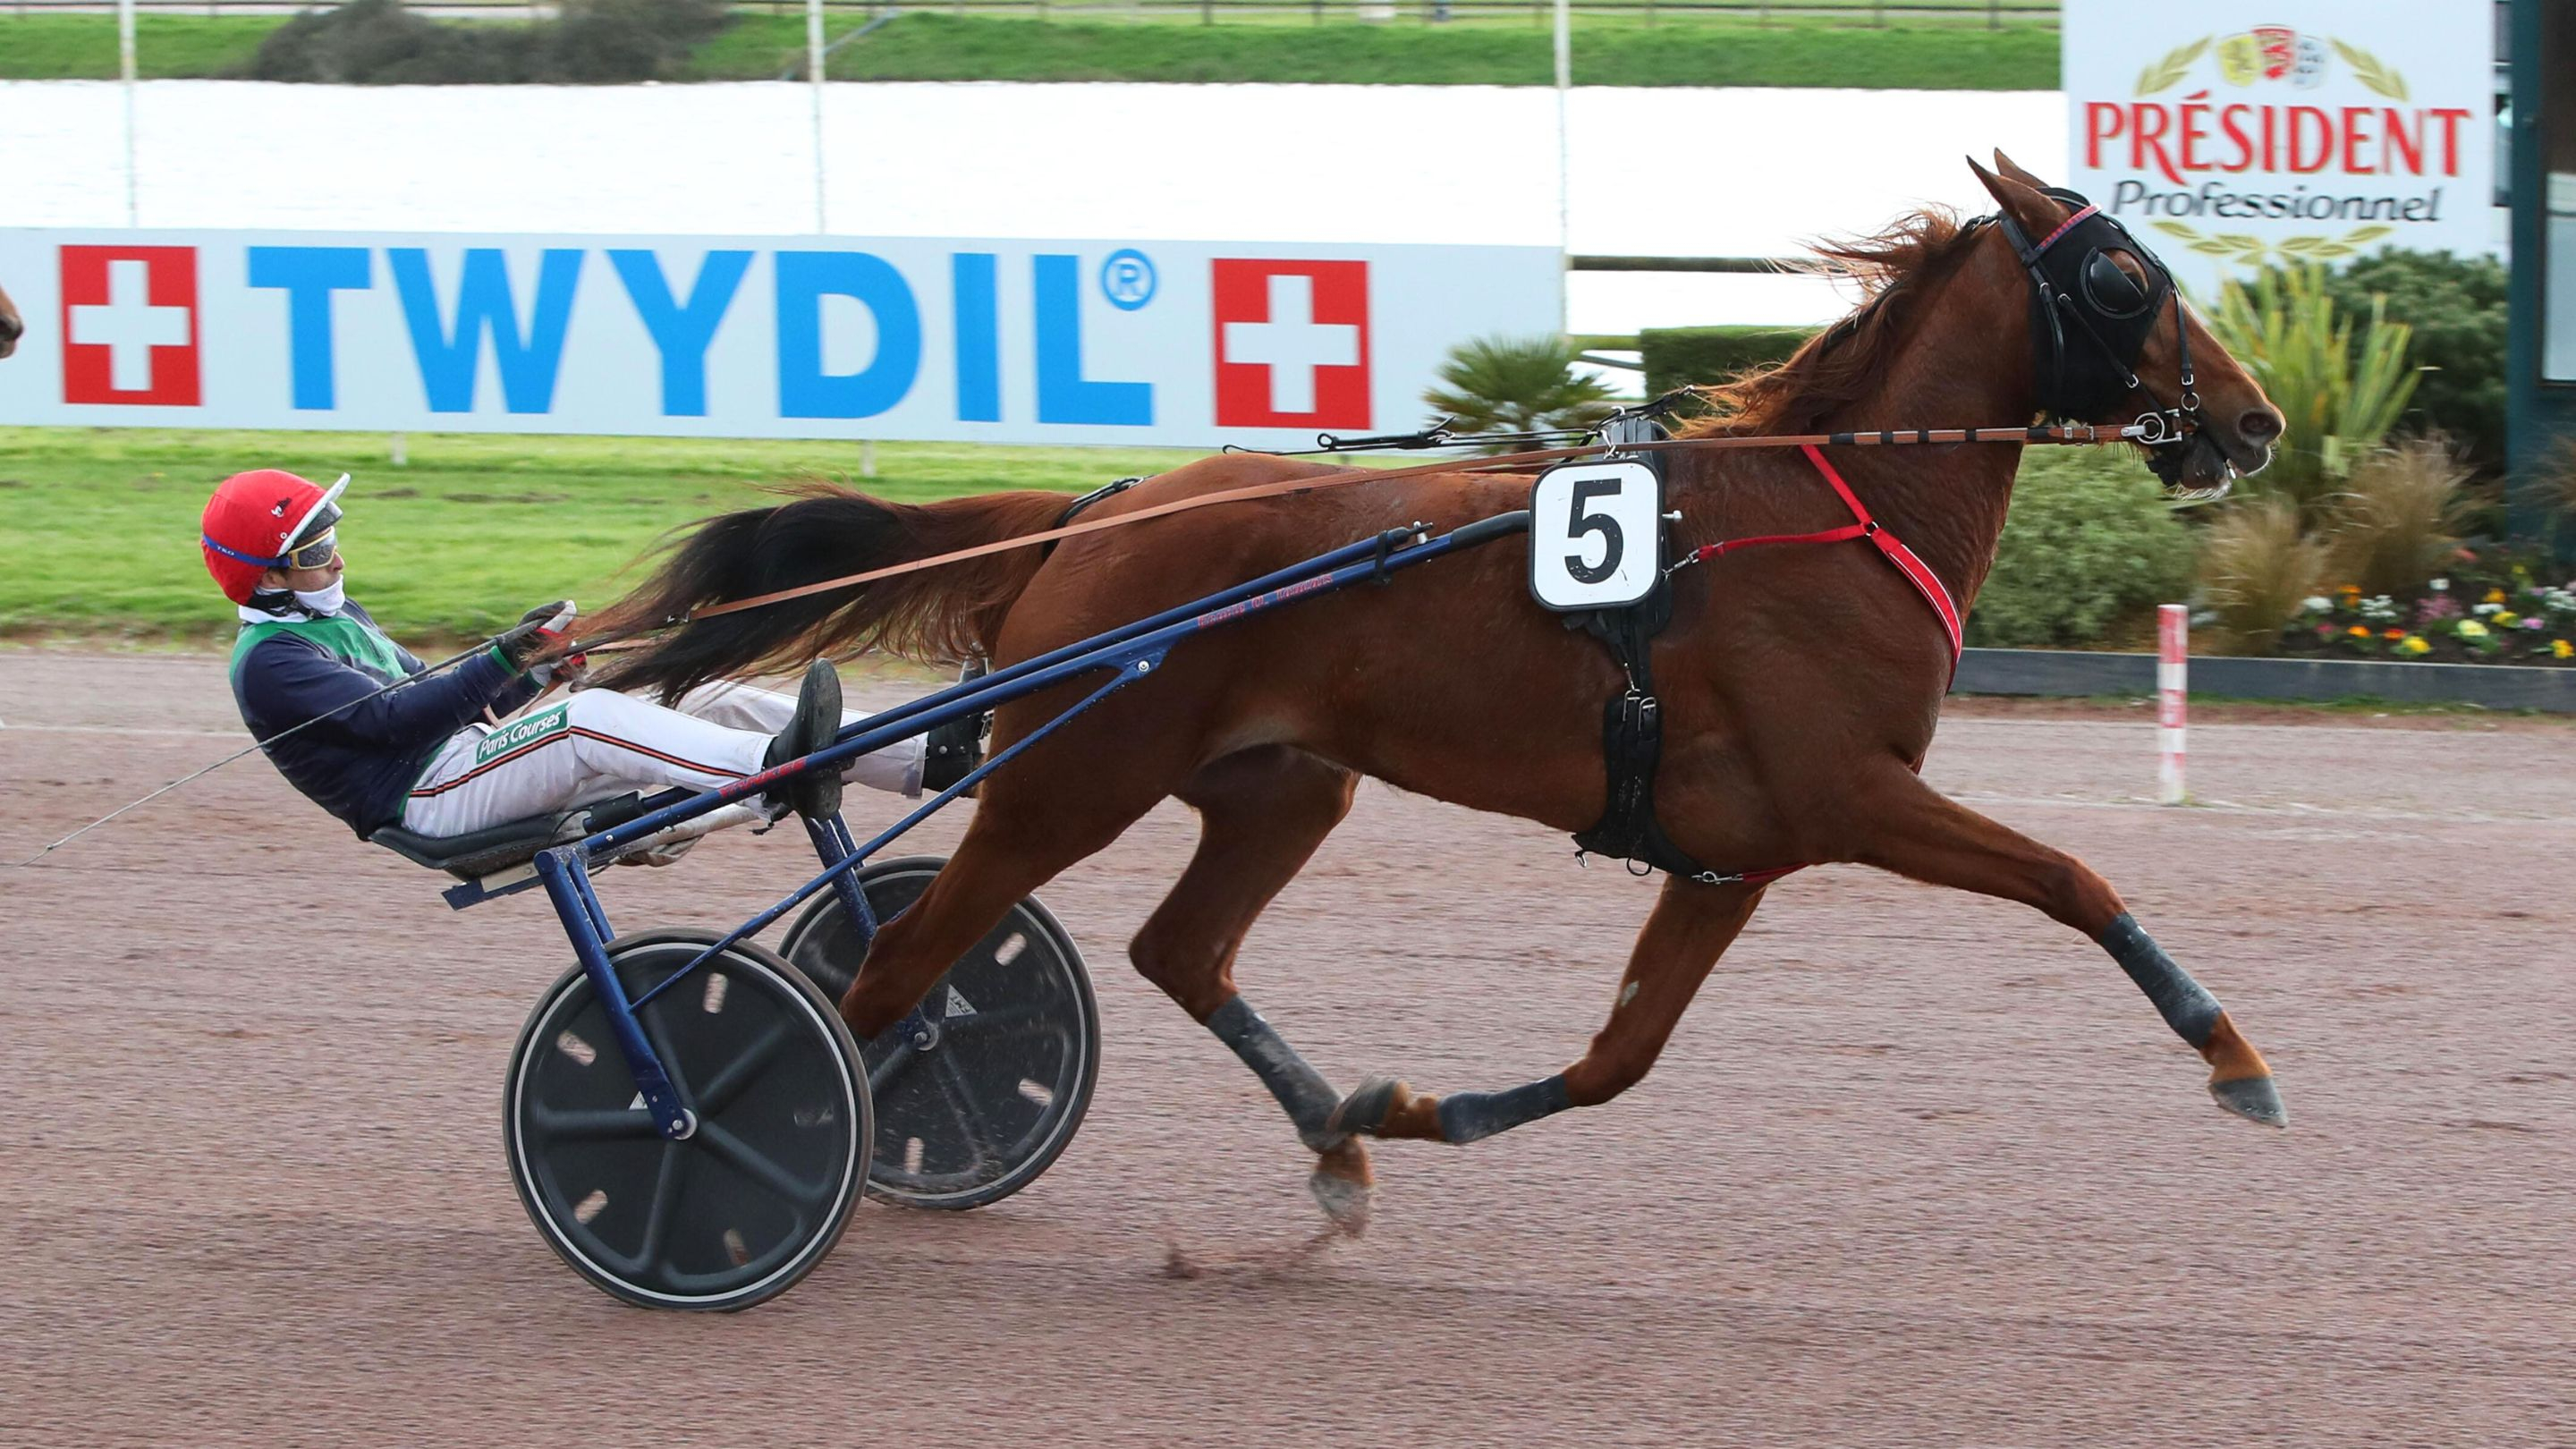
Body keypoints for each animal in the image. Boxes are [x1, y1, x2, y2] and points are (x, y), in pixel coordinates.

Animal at [591, 154, 2290, 1227]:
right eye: (2125, 275)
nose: (2259, 419)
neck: (1833, 506)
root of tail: (1094, 510)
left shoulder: (1734, 853)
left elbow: (1617, 1061)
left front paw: (1415, 1113)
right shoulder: (1853, 796)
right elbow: (2075, 879)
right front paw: (2234, 1056)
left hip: (1284, 784)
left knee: (1174, 951)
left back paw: (1328, 1144)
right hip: (1068, 782)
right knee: (887, 977)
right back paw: (799, 1144)